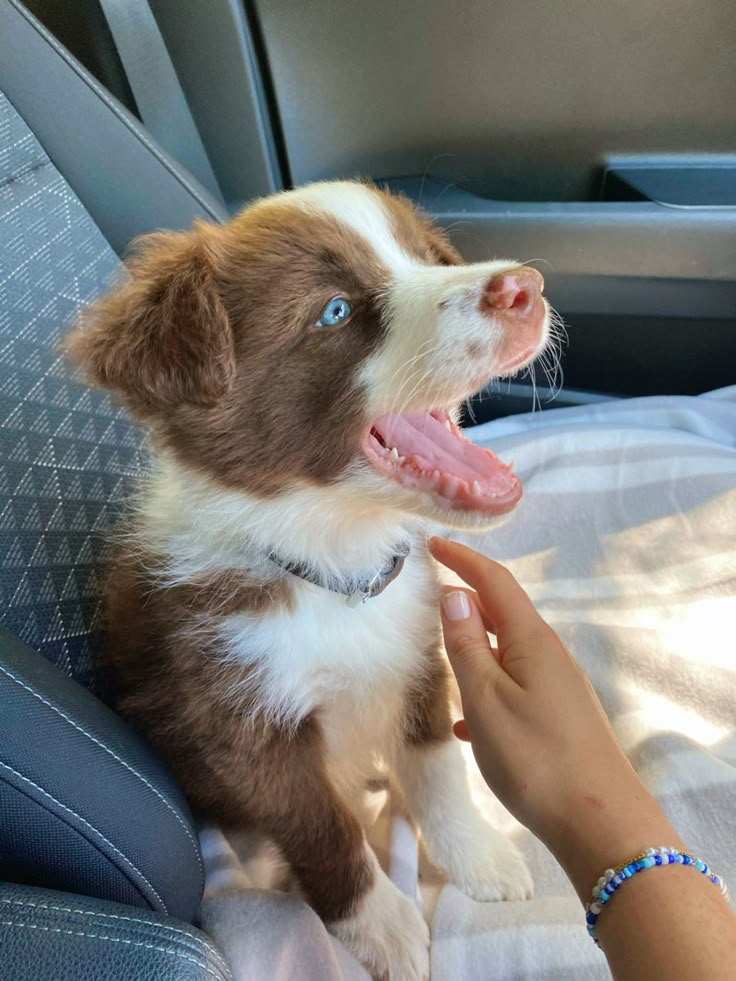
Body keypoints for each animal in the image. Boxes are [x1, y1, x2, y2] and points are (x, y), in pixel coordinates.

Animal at [66, 180, 556, 976]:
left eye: (430, 258)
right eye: (335, 312)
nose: (524, 287)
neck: (333, 564)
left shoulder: (417, 649)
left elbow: (438, 766)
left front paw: (478, 856)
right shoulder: (238, 717)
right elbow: (321, 824)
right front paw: (381, 926)